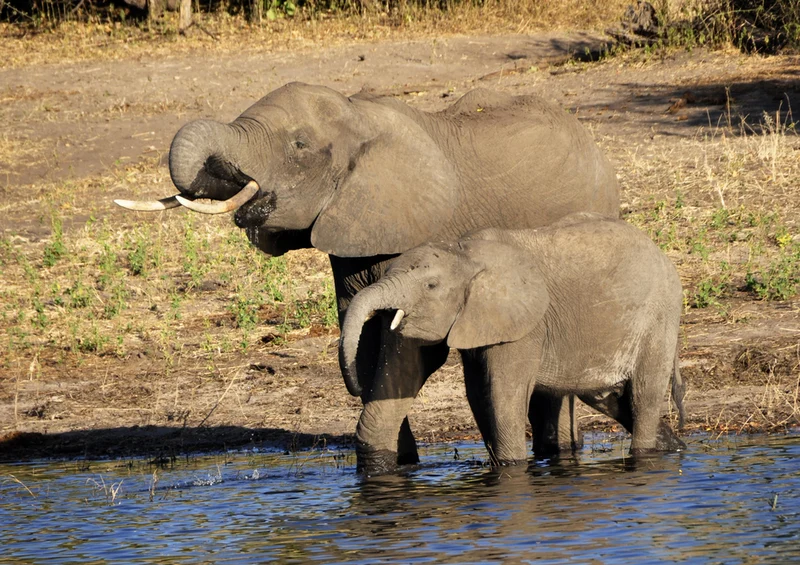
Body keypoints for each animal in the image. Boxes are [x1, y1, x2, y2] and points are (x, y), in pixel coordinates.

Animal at [114, 82, 620, 474]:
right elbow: (364, 335)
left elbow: (408, 348)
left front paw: (379, 466)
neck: (359, 115)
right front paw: (398, 463)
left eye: (299, 146)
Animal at [340, 213, 686, 465]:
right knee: (606, 396)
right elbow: (478, 394)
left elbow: (504, 395)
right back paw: (674, 446)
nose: (355, 385)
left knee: (643, 394)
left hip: (659, 316)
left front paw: (512, 468)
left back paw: (647, 454)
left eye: (431, 286)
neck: (464, 254)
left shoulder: (525, 327)